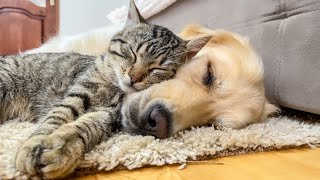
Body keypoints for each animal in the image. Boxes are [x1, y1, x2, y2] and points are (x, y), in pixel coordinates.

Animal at [0, 0, 210, 178]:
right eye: (132, 52)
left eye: (157, 69)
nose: (134, 78)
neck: (113, 87)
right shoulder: (78, 93)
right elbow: (55, 118)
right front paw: (33, 144)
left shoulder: (109, 115)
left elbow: (83, 128)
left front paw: (61, 150)